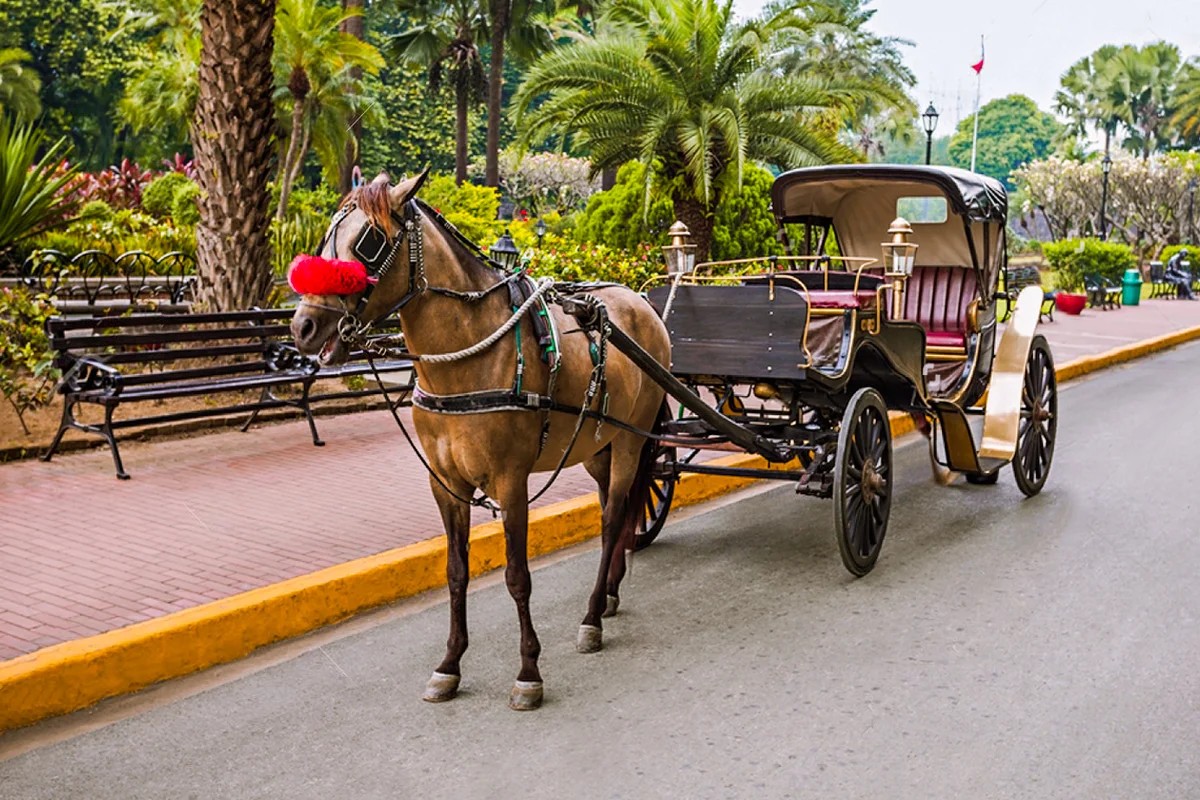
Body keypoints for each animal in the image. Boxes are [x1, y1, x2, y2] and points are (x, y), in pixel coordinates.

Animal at [290, 172, 670, 710]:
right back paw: (610, 593)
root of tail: (641, 303)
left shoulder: (511, 481)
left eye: (369, 241)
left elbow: (516, 576)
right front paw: (449, 664)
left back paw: (593, 614)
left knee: (614, 517)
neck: (467, 356)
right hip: (600, 443)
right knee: (607, 515)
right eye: (325, 237)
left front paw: (529, 671)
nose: (303, 326)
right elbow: (455, 572)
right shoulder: (445, 483)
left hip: (632, 442)